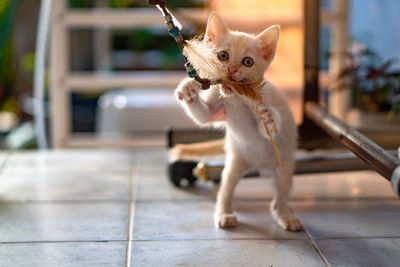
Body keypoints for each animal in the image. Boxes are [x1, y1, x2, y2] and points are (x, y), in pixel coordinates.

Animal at [175, 13, 304, 232]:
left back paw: (286, 216)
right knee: (225, 190)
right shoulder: (217, 111)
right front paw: (189, 91)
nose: (232, 69)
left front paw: (267, 118)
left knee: (279, 198)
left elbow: (268, 128)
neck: (235, 98)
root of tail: (260, 168)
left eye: (247, 61)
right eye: (223, 56)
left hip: (284, 167)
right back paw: (225, 214)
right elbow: (203, 115)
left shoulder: (261, 98)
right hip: (234, 164)